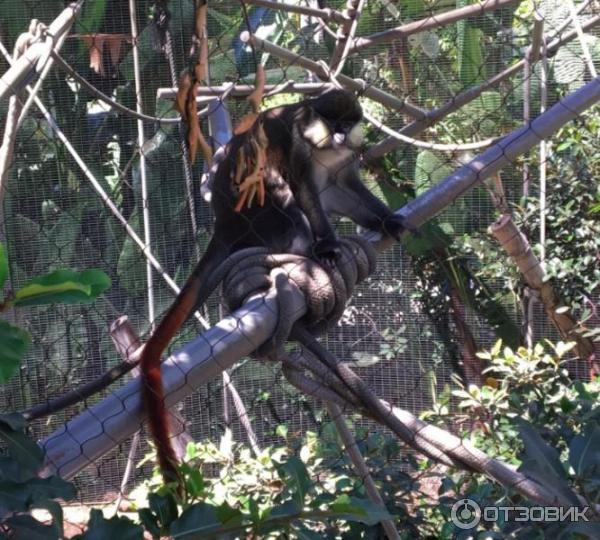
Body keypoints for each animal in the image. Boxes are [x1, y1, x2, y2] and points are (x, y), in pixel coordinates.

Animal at [141, 88, 404, 486]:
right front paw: (328, 245)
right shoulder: (299, 149)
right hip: (257, 210)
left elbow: (346, 185)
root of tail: (224, 223)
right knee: (285, 198)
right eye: (331, 122)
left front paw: (387, 219)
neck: (321, 144)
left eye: (348, 124)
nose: (340, 135)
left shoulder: (344, 161)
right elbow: (304, 189)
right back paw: (305, 252)